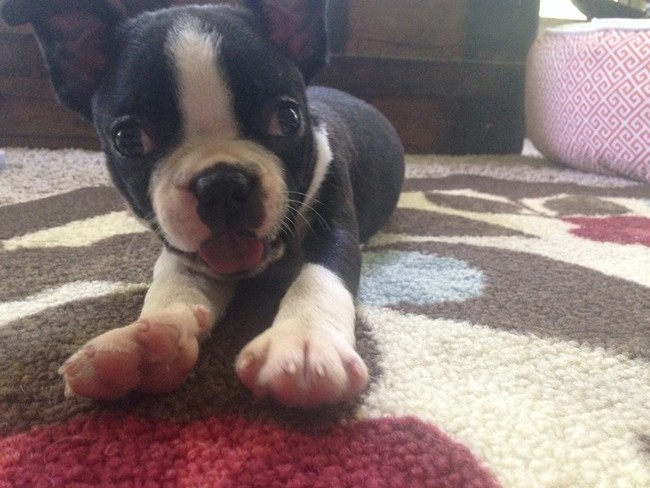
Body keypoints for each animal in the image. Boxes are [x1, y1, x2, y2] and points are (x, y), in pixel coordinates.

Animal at [2, 0, 402, 408]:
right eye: (127, 138)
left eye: (288, 118)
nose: (221, 184)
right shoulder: (184, 252)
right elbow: (173, 286)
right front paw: (140, 341)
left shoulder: (334, 230)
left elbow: (319, 276)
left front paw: (304, 342)